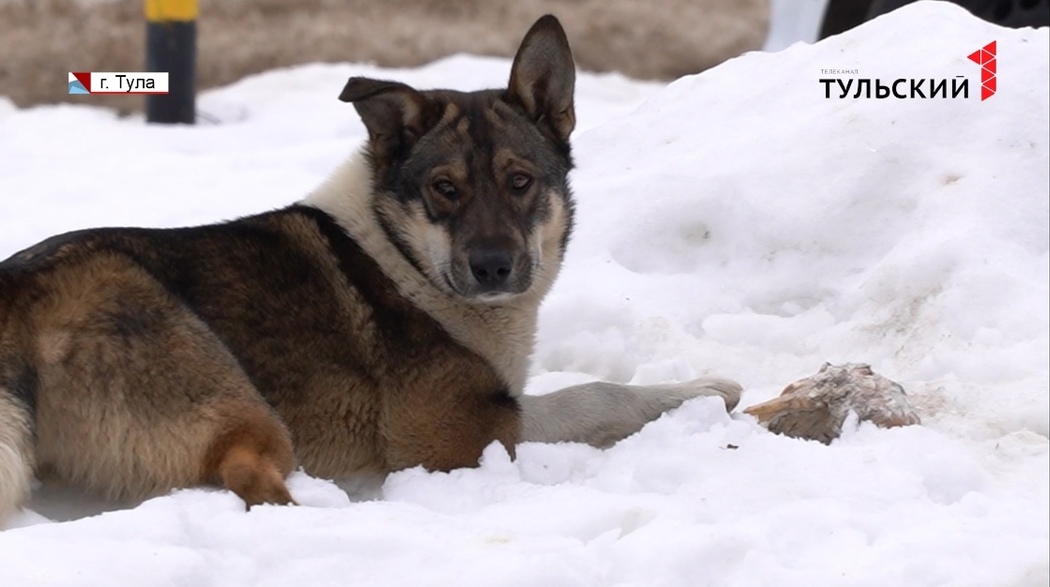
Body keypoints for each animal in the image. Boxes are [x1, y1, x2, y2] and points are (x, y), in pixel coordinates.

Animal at [0, 14, 739, 522]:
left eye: (521, 181)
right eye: (445, 188)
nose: (494, 267)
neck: (403, 255)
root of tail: (20, 296)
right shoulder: (457, 436)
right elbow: (591, 395)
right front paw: (703, 390)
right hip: (238, 402)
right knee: (251, 477)